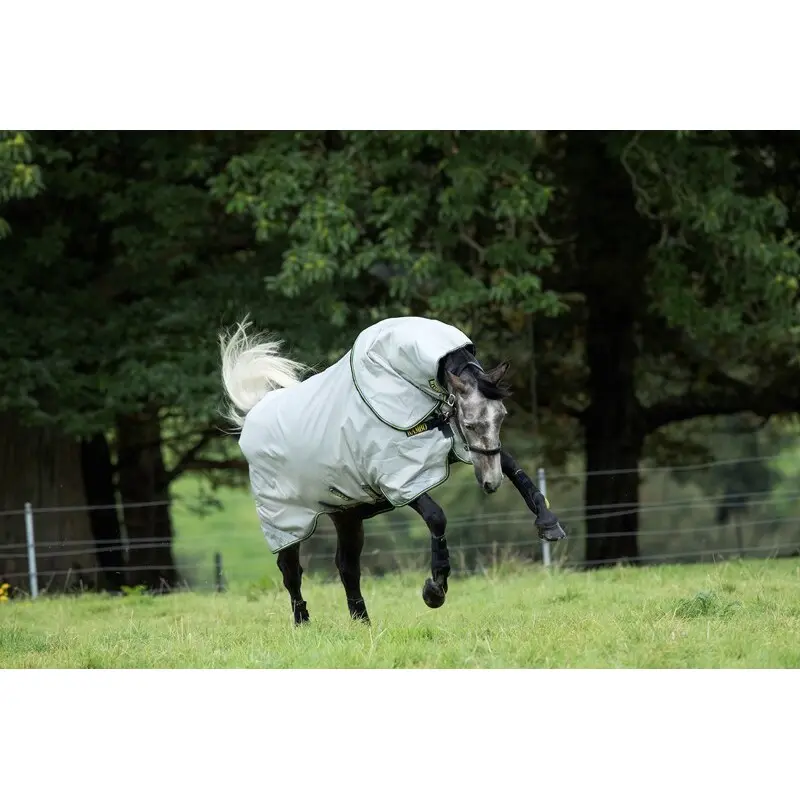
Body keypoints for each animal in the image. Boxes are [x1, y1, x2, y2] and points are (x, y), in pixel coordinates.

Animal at [219, 315, 566, 625]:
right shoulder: (399, 478)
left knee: (346, 567)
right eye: (469, 423)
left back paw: (362, 622)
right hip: (286, 520)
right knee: (291, 570)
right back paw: (302, 622)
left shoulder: (458, 446)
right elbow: (436, 517)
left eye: (502, 416)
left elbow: (516, 470)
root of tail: (254, 413)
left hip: (346, 515)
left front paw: (548, 524)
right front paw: (434, 590)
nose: (490, 484)